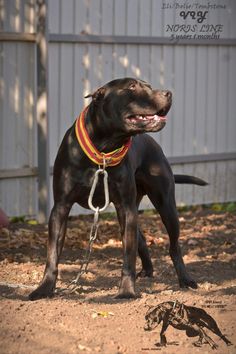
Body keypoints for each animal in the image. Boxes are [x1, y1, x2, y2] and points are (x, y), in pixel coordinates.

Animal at [29, 76, 206, 298]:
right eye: (132, 86)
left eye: (148, 86)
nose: (168, 93)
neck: (103, 149)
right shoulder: (60, 208)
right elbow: (52, 253)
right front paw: (44, 288)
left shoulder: (125, 208)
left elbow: (128, 254)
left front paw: (127, 291)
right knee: (141, 238)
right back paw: (148, 270)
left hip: (166, 207)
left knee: (173, 247)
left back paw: (185, 279)